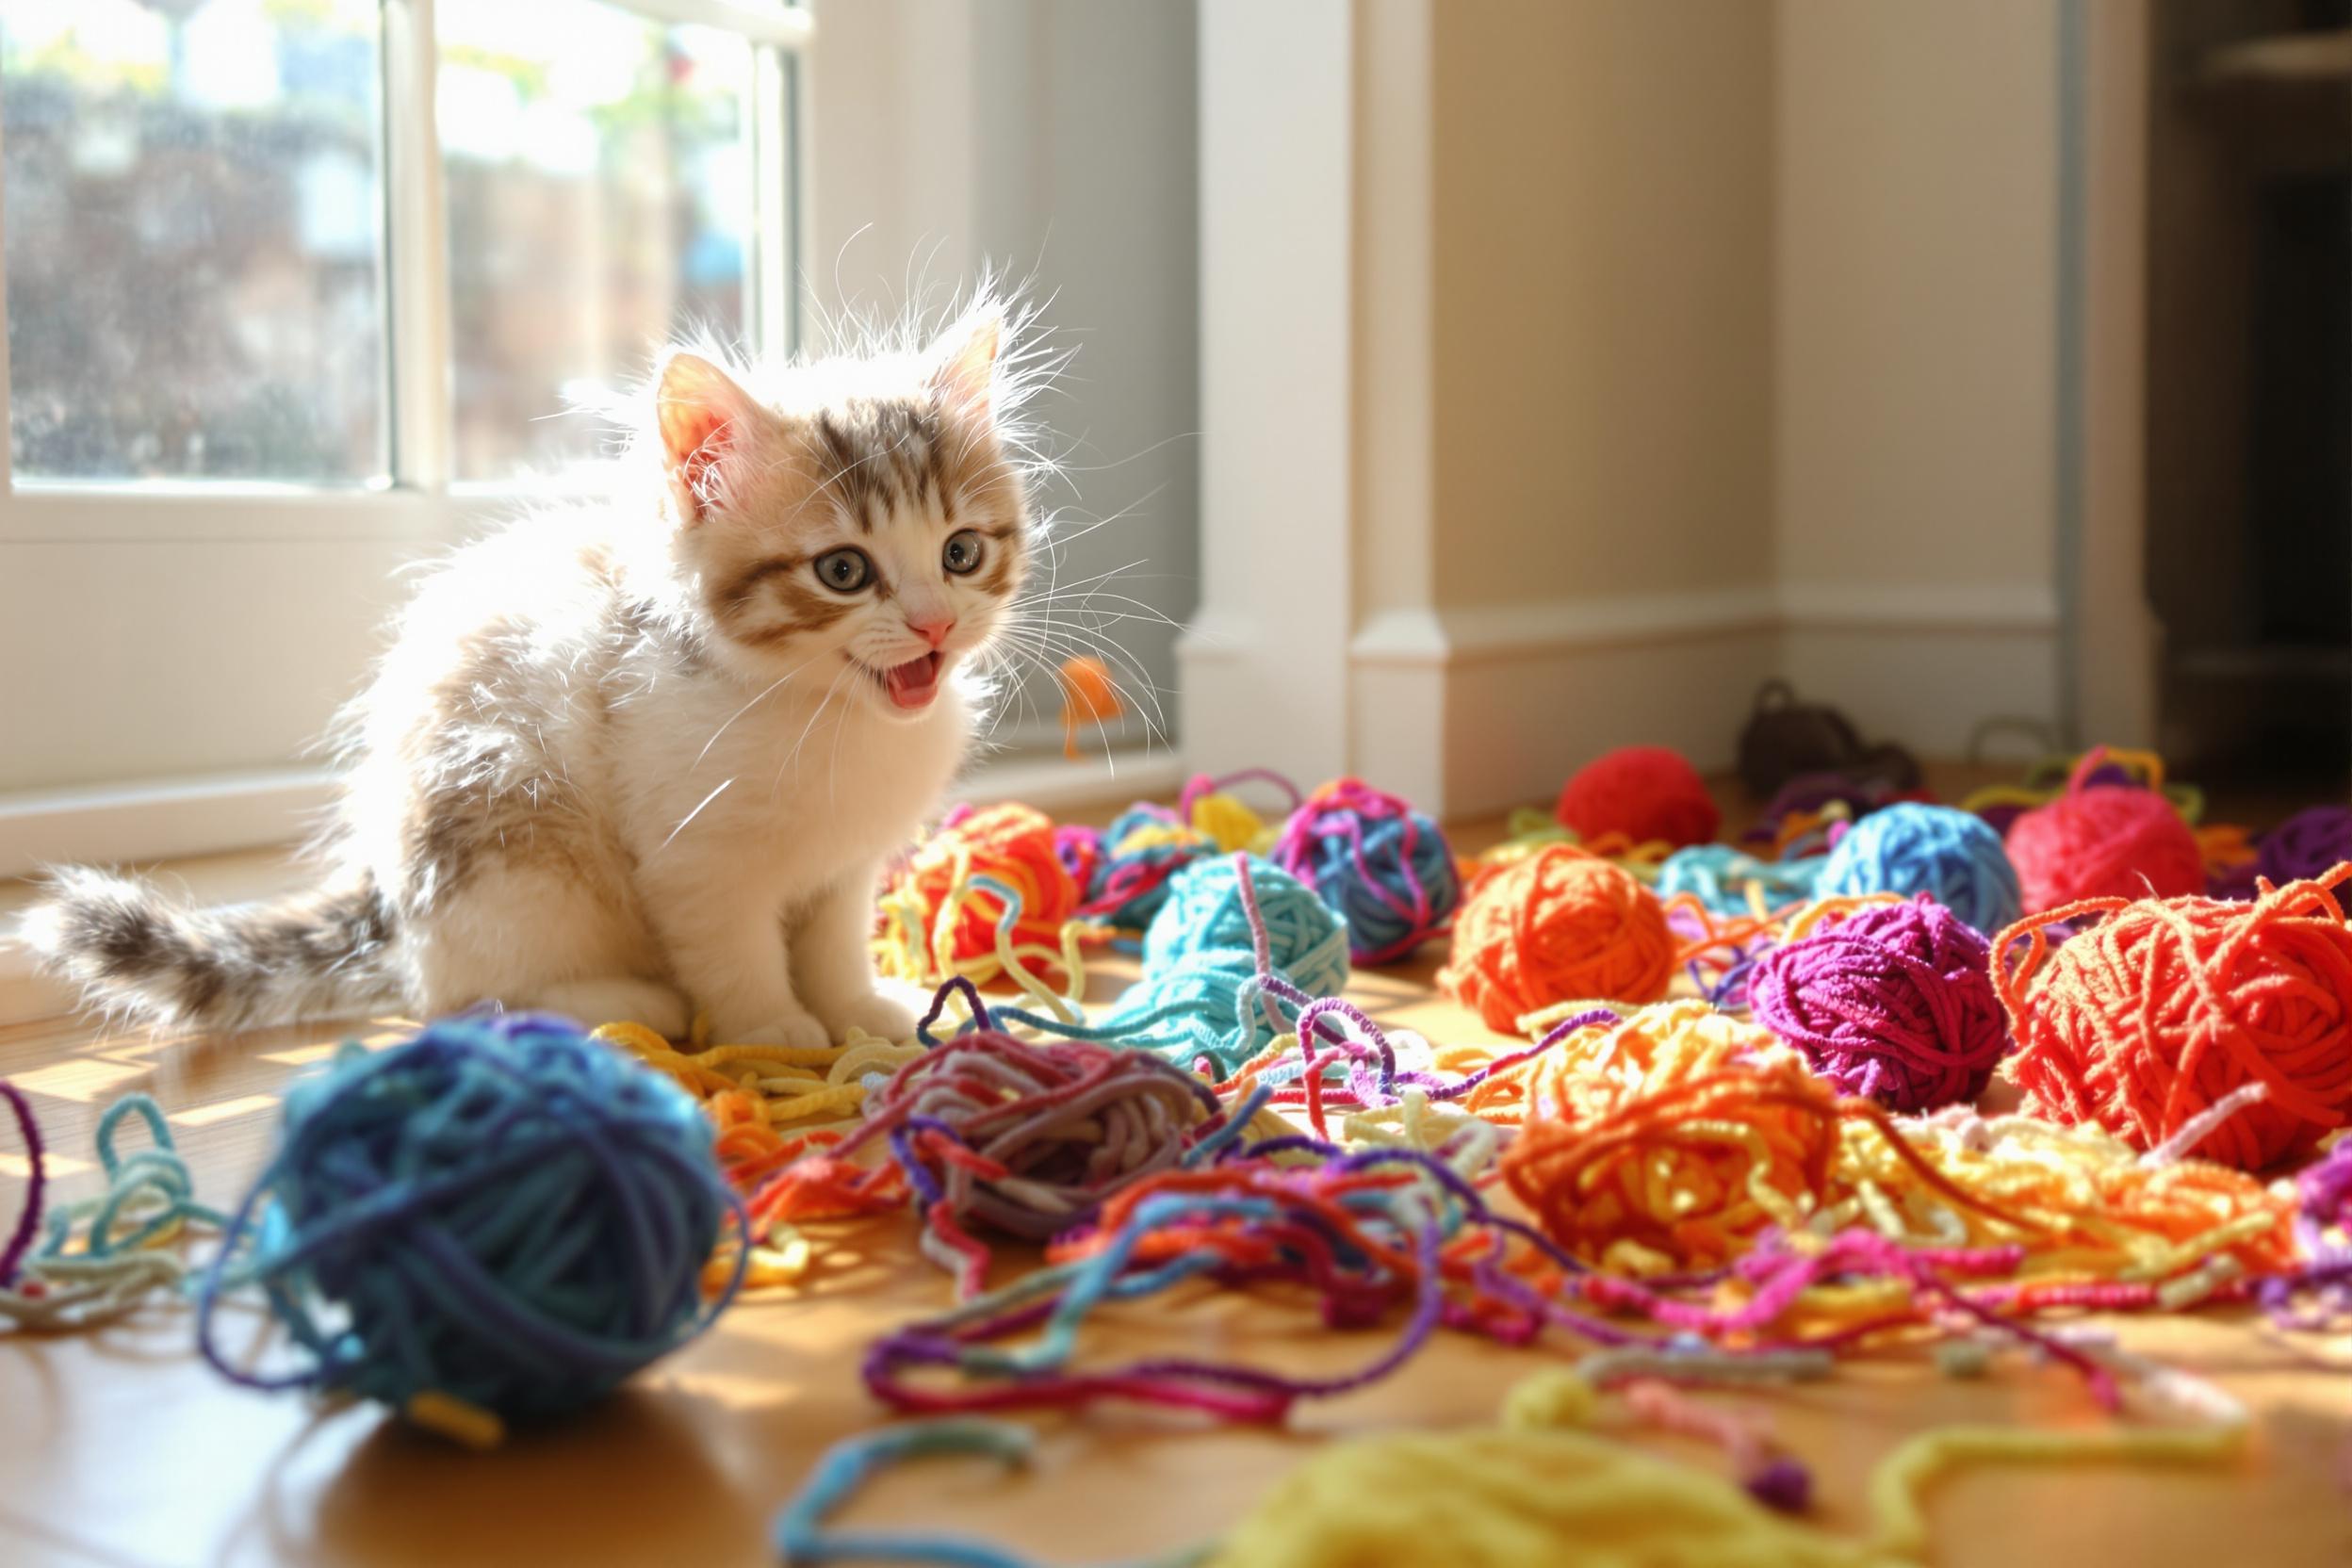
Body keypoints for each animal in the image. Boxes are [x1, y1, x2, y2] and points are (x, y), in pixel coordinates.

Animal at [23, 301, 1044, 1048]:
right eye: (843, 571)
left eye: (960, 552)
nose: (935, 623)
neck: (828, 717)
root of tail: (386, 896)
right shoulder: (697, 861)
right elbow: (734, 953)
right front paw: (774, 1031)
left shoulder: (846, 864)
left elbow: (832, 942)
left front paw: (859, 1010)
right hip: (514, 855)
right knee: (459, 1000)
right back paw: (632, 1004)